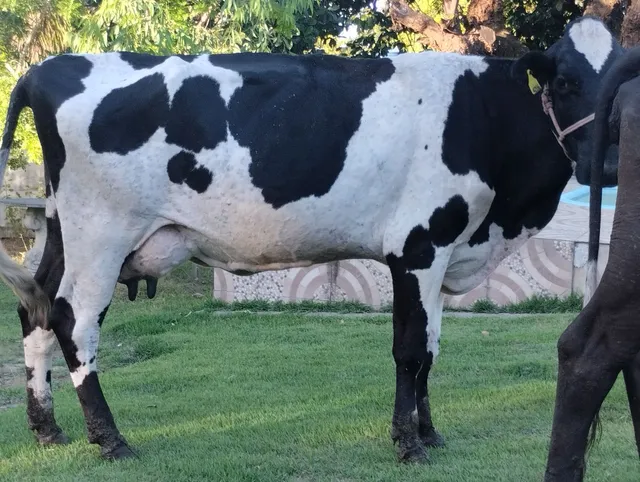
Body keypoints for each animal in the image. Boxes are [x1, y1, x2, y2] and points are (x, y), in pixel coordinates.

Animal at [0, 16, 623, 463]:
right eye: (566, 82)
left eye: (621, 85)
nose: (610, 162)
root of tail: (46, 69)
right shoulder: (418, 247)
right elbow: (411, 349)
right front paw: (409, 444)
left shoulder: (443, 255)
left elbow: (430, 349)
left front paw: (429, 433)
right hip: (101, 233)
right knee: (74, 321)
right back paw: (110, 439)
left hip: (64, 229)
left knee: (35, 307)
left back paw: (47, 428)